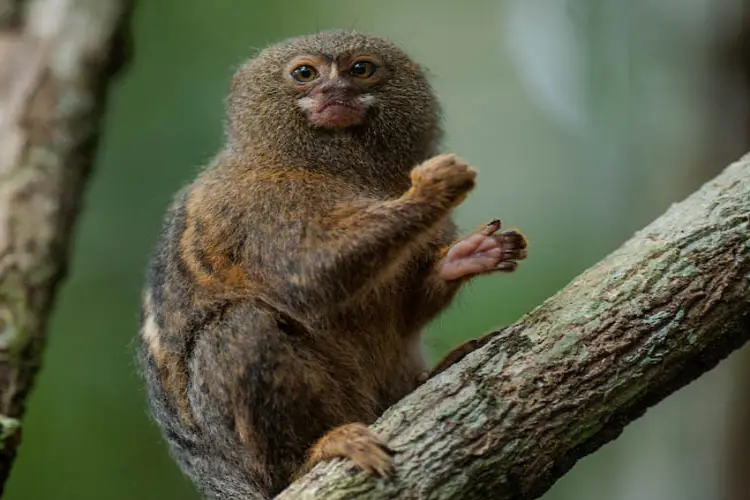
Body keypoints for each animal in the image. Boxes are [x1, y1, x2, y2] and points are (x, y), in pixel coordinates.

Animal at [137, 30, 527, 499]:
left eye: (360, 69)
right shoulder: (261, 204)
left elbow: (407, 311)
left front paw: (469, 254)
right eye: (305, 73)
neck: (329, 164)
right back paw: (311, 455)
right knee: (239, 328)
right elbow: (310, 276)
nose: (334, 91)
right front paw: (429, 192)